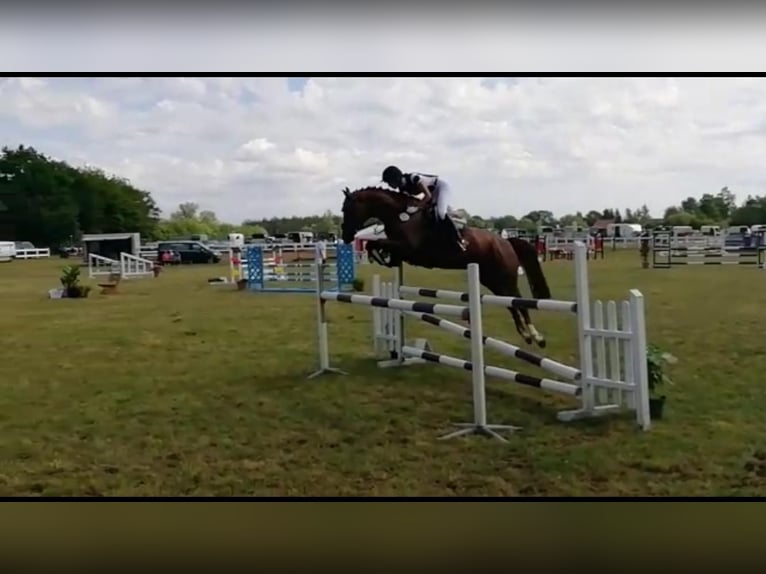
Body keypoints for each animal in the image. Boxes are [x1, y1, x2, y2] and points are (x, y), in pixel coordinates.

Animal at [342, 187, 552, 348]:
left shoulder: (408, 247)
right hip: (492, 280)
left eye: (347, 209)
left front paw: (377, 256)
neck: (401, 216)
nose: (345, 236)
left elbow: (375, 243)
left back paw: (536, 336)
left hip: (504, 277)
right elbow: (375, 245)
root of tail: (506, 242)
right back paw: (525, 335)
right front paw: (379, 257)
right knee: (511, 304)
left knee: (519, 302)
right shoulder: (400, 250)